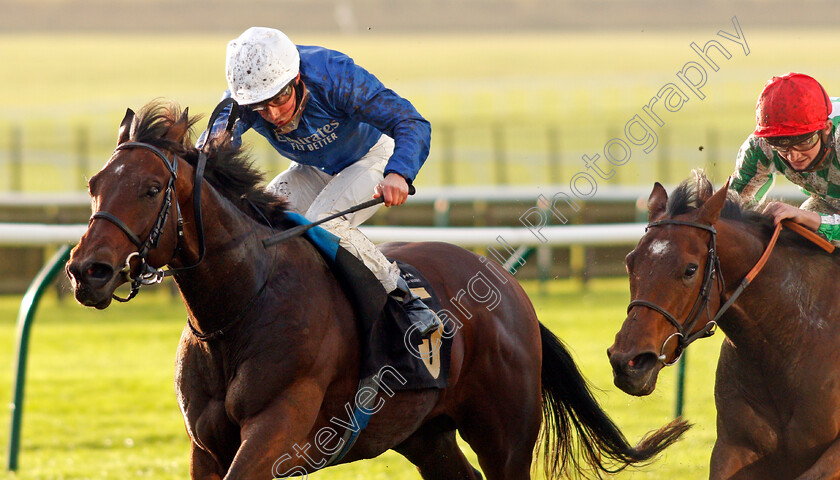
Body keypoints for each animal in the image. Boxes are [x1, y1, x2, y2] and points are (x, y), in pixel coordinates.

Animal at [67, 99, 688, 478]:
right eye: (95, 184)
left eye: (151, 188)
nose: (87, 271)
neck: (238, 310)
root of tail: (510, 292)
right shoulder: (206, 445)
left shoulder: (275, 430)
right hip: (424, 434)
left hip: (506, 433)